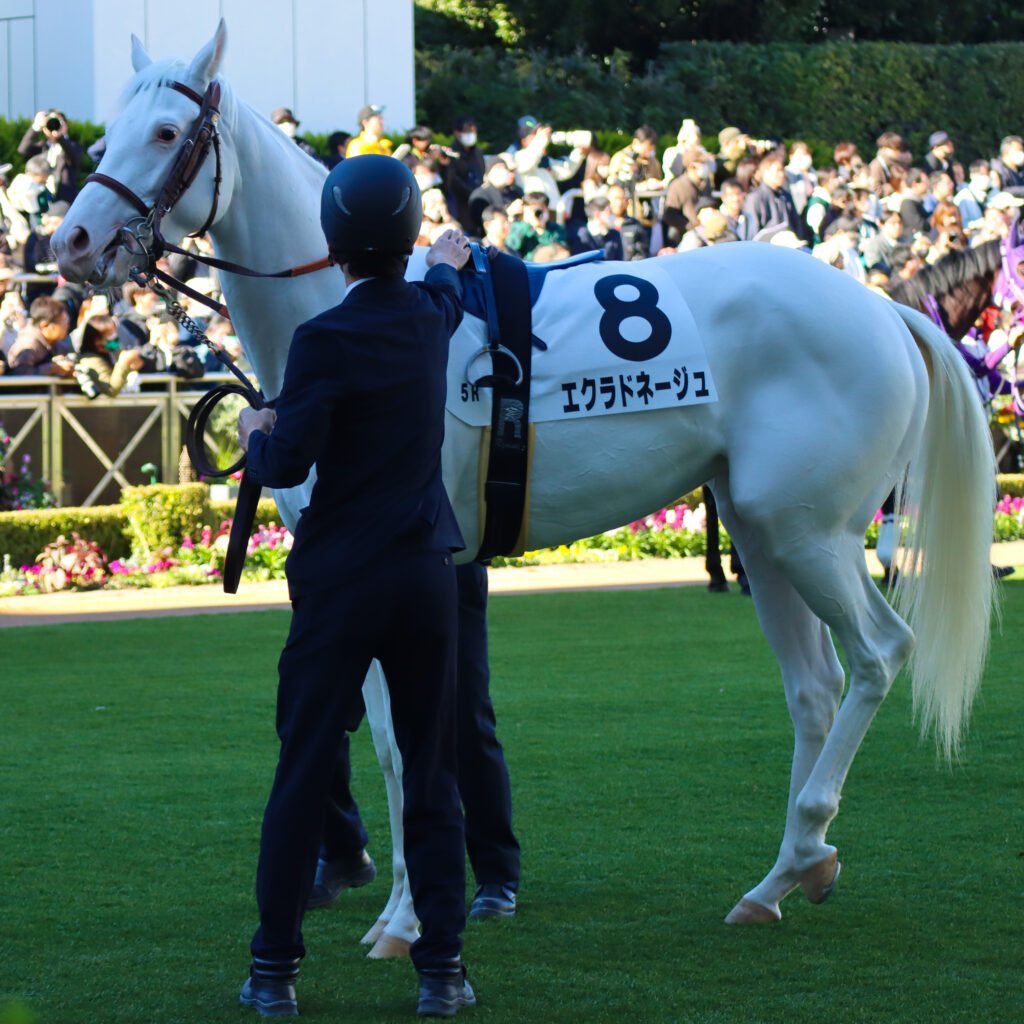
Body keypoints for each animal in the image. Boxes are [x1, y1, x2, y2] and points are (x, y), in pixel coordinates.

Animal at [53, 21, 995, 943]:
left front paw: (407, 918)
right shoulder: (354, 572)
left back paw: (805, 846)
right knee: (814, 687)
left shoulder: (404, 571)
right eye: (104, 135)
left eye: (165, 134)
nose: (72, 243)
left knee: (878, 655)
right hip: (765, 532)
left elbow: (410, 743)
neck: (356, 305)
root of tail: (882, 309)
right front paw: (397, 909)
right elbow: (389, 744)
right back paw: (785, 875)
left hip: (810, 535)